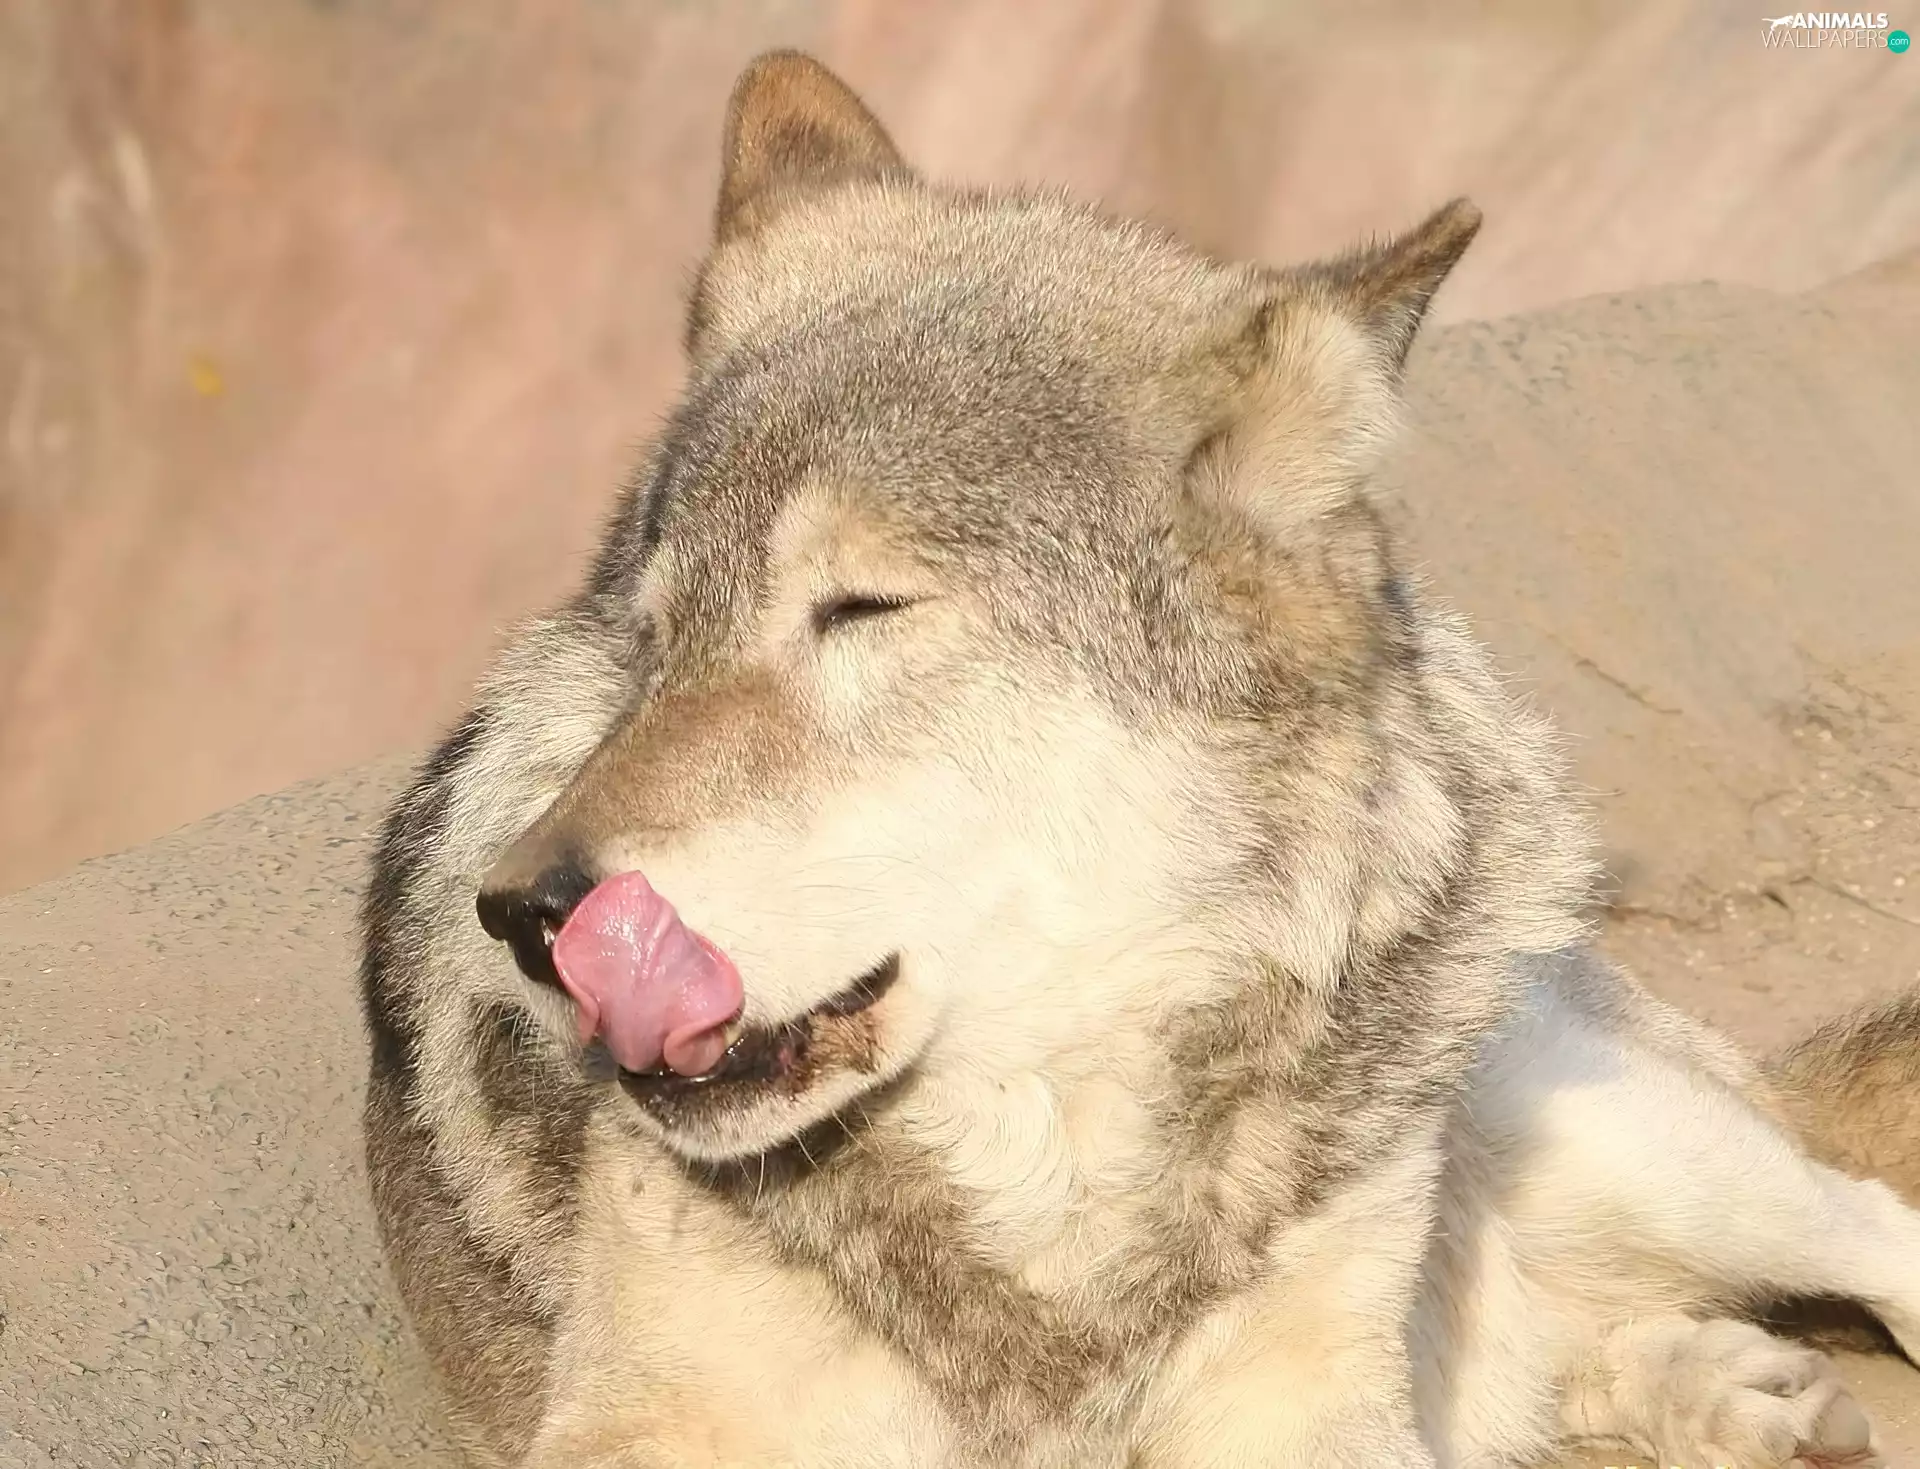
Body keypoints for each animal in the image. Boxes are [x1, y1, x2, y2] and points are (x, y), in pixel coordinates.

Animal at [360, 50, 1920, 1469]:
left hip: (1638, 1144)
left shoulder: (1305, 1403)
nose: (525, 911)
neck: (1051, 1197)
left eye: (860, 609)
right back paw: (1733, 1398)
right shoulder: (647, 1423)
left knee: (1872, 1220)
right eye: (655, 630)